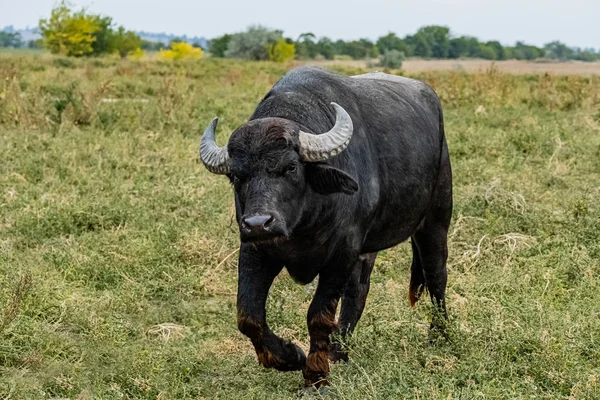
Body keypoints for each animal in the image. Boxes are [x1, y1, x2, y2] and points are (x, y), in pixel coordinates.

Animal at [199, 66, 452, 388]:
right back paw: (340, 350)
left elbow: (318, 315)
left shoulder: (341, 252)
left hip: (435, 220)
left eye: (291, 167)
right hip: (367, 249)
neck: (303, 221)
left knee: (436, 276)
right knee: (359, 289)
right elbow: (249, 316)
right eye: (237, 175)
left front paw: (316, 374)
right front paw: (289, 356)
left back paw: (440, 335)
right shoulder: (255, 251)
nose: (258, 223)